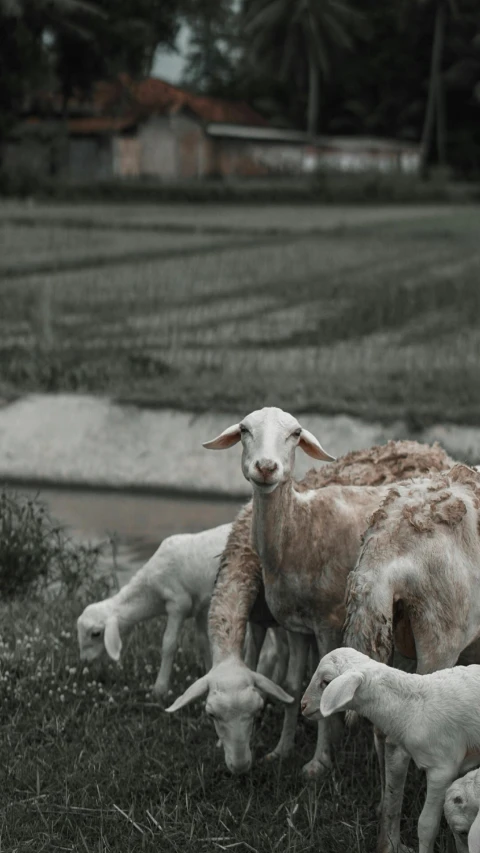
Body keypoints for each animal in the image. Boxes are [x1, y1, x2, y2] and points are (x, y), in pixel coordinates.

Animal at [166, 410, 454, 776]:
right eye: (244, 430)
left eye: (295, 433)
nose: (265, 467)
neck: (301, 526)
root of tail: (433, 449)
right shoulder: (289, 624)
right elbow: (288, 684)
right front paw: (281, 750)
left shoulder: (328, 624)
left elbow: (325, 683)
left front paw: (320, 761)